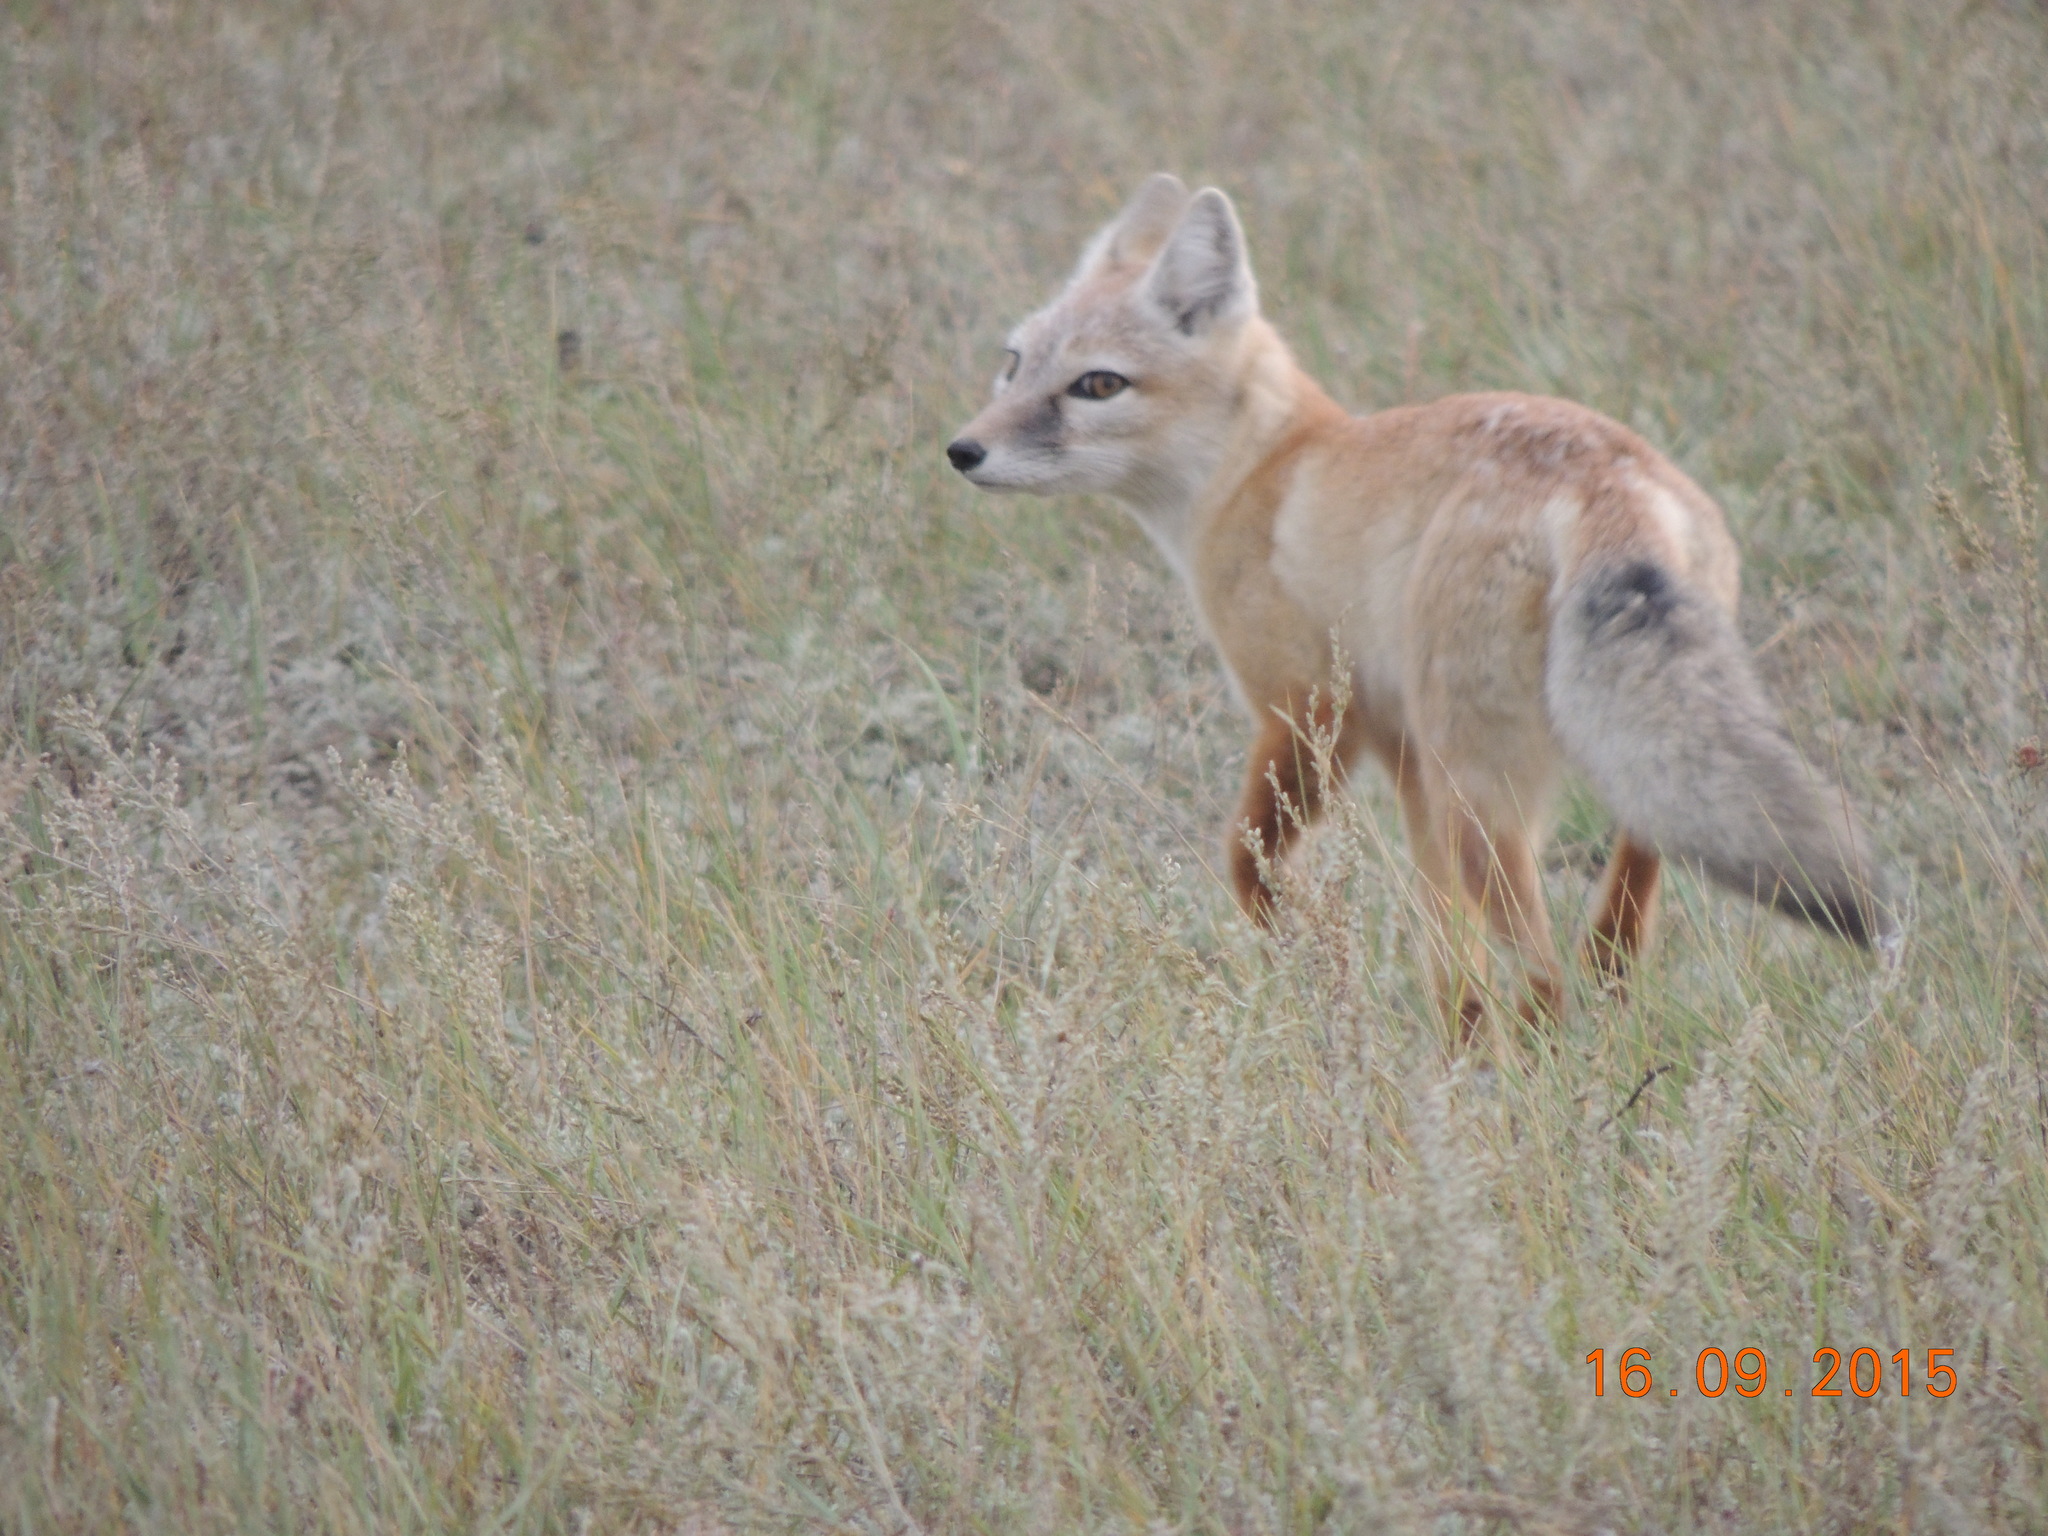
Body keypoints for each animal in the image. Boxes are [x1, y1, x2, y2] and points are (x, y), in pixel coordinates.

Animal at [950, 174, 1892, 1028]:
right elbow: (1445, 940)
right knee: (1624, 899)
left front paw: (1307, 963)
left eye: (1097, 385)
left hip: (1478, 793)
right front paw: (1457, 1038)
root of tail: (1607, 480)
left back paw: (1548, 1061)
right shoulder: (1399, 757)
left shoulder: (1307, 715)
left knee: (1541, 965)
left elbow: (1249, 867)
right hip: (1573, 779)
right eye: (1013, 363)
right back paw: (1596, 1009)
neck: (1267, 470)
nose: (962, 451)